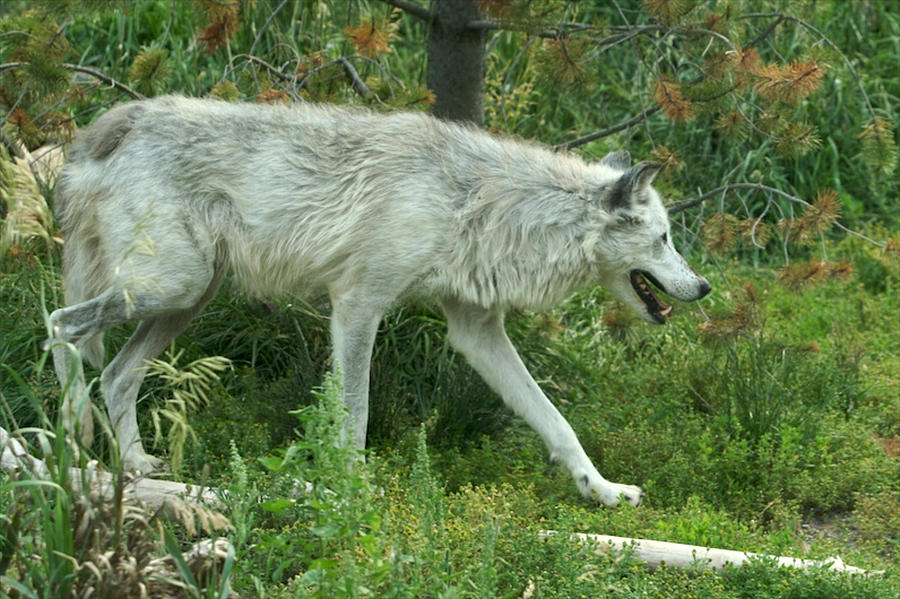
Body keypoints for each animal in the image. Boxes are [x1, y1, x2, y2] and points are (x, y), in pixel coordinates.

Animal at [49, 97, 712, 506]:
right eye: (665, 239)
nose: (704, 287)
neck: (482, 204)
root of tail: (112, 122)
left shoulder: (477, 331)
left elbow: (556, 421)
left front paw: (602, 491)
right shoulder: (356, 307)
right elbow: (356, 415)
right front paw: (350, 492)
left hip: (187, 299)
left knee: (115, 373)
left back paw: (134, 465)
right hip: (170, 287)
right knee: (63, 326)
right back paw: (72, 439)